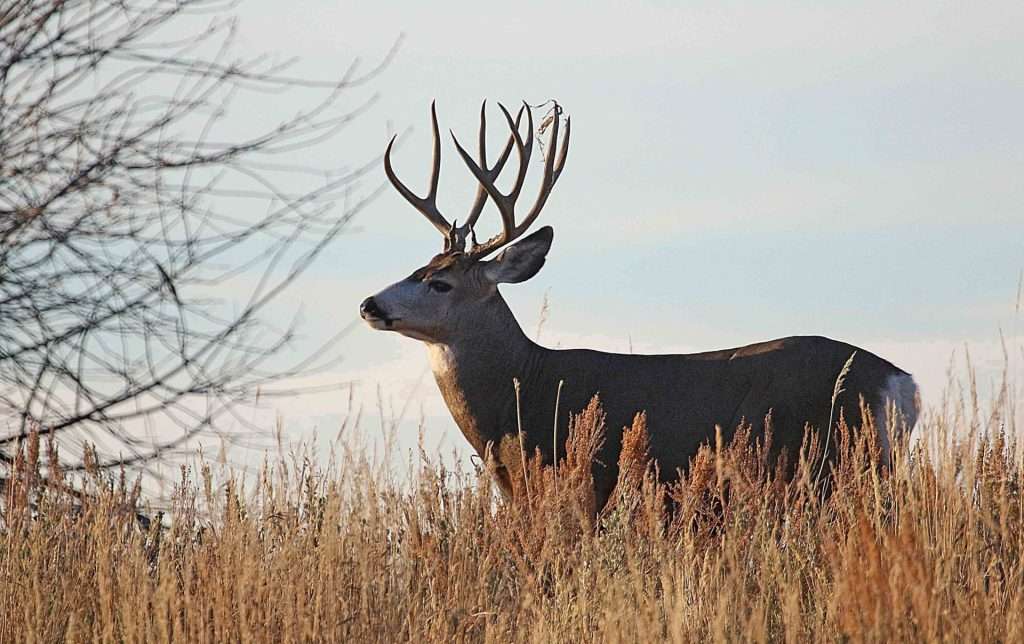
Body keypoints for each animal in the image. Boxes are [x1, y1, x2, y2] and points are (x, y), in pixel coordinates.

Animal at [360, 101, 919, 510]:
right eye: (419, 267)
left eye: (440, 283)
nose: (368, 304)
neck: (521, 391)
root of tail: (901, 382)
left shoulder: (577, 485)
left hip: (829, 462)